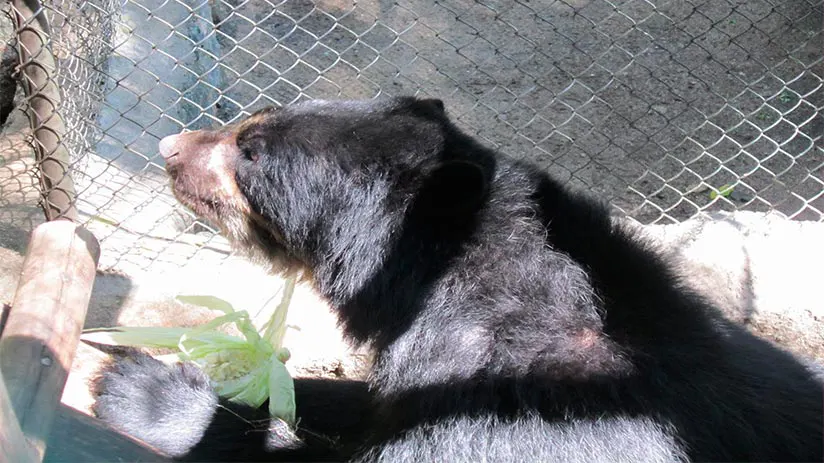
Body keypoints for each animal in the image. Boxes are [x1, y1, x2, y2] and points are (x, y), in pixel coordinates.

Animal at [91, 96, 824, 462]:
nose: (169, 148)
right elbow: (360, 405)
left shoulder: (513, 416)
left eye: (250, 152)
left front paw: (143, 391)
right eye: (248, 125)